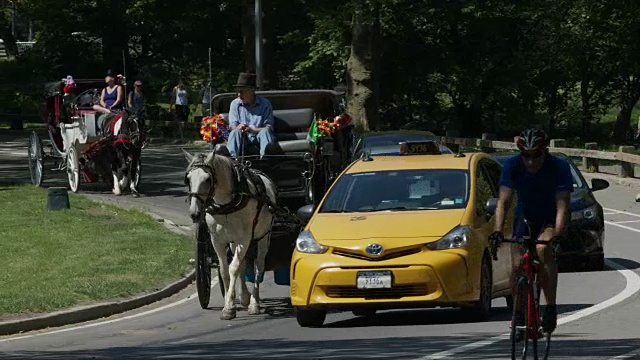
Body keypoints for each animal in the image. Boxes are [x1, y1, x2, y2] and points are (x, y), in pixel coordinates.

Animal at [182, 146, 278, 320]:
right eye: (188, 179)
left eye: (208, 179)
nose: (194, 213)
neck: (226, 205)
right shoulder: (218, 240)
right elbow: (225, 270)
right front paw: (229, 302)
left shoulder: (244, 238)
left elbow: (233, 268)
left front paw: (229, 308)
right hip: (233, 242)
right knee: (242, 264)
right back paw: (245, 297)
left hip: (263, 236)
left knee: (258, 266)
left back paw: (254, 303)